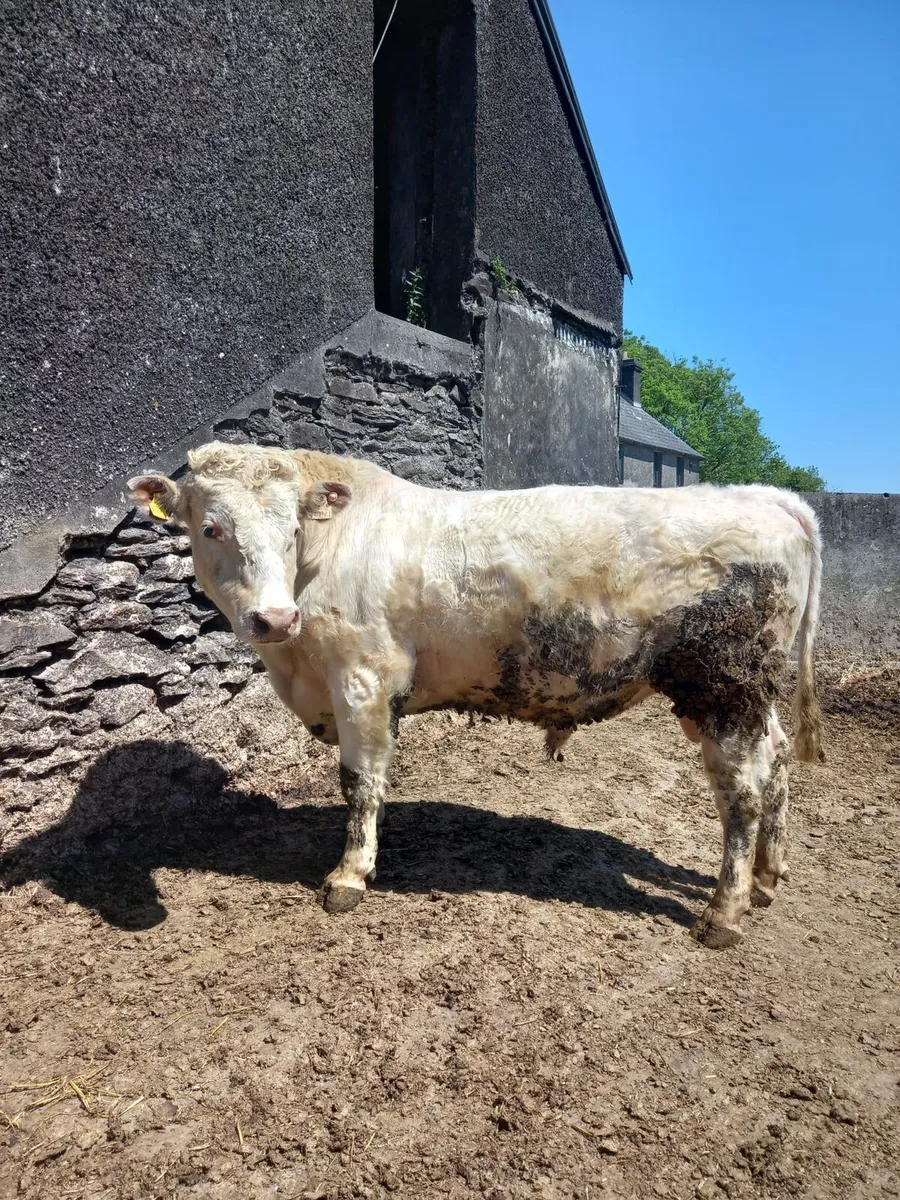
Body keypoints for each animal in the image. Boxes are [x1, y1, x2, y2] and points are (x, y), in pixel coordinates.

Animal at [128, 442, 823, 949]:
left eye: (291, 525)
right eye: (211, 527)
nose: (273, 618)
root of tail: (766, 497)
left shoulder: (362, 676)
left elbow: (360, 782)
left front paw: (350, 874)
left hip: (723, 686)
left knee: (742, 792)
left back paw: (724, 912)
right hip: (744, 694)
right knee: (779, 760)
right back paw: (767, 876)